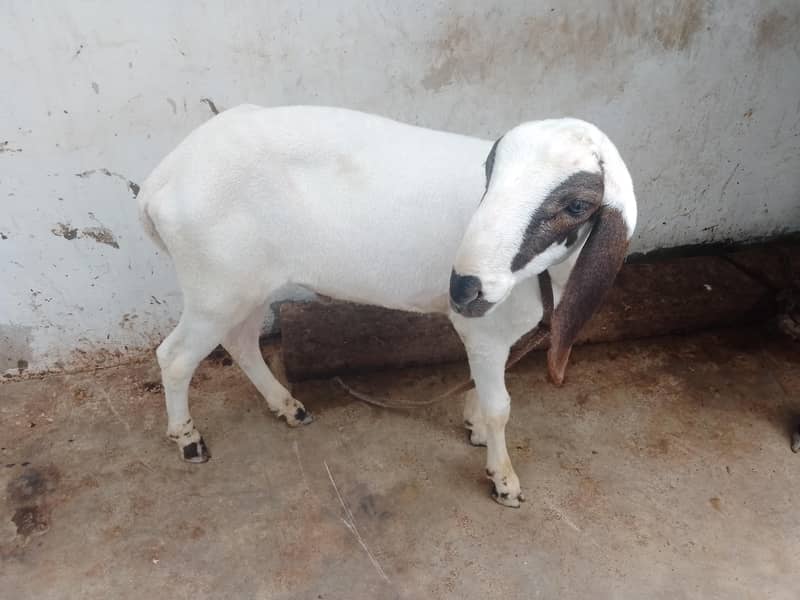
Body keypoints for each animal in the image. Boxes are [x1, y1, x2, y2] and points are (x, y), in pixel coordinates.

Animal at [138, 105, 637, 507]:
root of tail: (163, 178)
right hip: (215, 288)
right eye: (490, 172)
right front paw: (503, 480)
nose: (464, 287)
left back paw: (287, 406)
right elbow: (500, 406)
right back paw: (188, 439)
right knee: (176, 357)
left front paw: (473, 426)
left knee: (240, 341)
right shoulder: (484, 332)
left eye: (578, 205)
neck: (548, 277)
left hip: (245, 286)